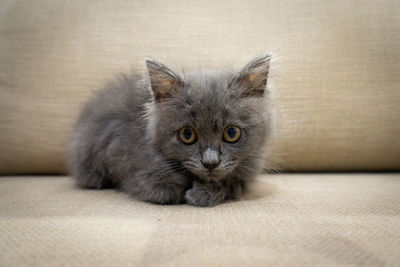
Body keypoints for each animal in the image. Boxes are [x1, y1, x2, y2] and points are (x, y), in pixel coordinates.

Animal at [69, 52, 276, 207]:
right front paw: (182, 189)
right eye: (187, 135)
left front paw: (202, 194)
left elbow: (232, 184)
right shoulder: (131, 161)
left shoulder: (247, 171)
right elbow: (156, 186)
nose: (210, 163)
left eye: (231, 133)